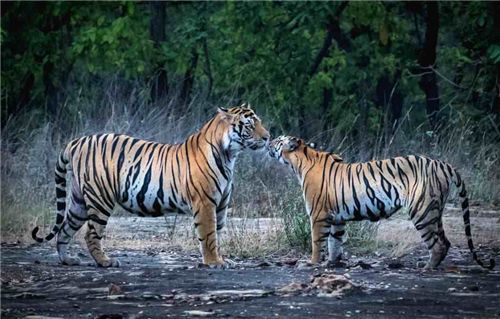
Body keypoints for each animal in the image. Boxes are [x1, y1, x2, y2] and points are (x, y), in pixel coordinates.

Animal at [32, 105, 270, 268]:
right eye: (250, 125)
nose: (268, 137)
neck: (229, 155)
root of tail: (77, 142)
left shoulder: (220, 205)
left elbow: (217, 234)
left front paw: (220, 259)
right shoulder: (205, 203)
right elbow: (209, 235)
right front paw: (214, 262)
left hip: (79, 202)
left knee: (65, 229)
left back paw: (68, 260)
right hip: (100, 198)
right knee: (91, 234)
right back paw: (106, 262)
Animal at [268, 135, 494, 270]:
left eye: (278, 140)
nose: (268, 140)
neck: (299, 162)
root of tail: (443, 164)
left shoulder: (318, 215)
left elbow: (317, 242)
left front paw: (312, 263)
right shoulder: (337, 218)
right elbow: (335, 241)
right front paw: (332, 263)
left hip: (421, 210)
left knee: (437, 244)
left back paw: (427, 268)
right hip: (435, 210)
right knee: (445, 242)